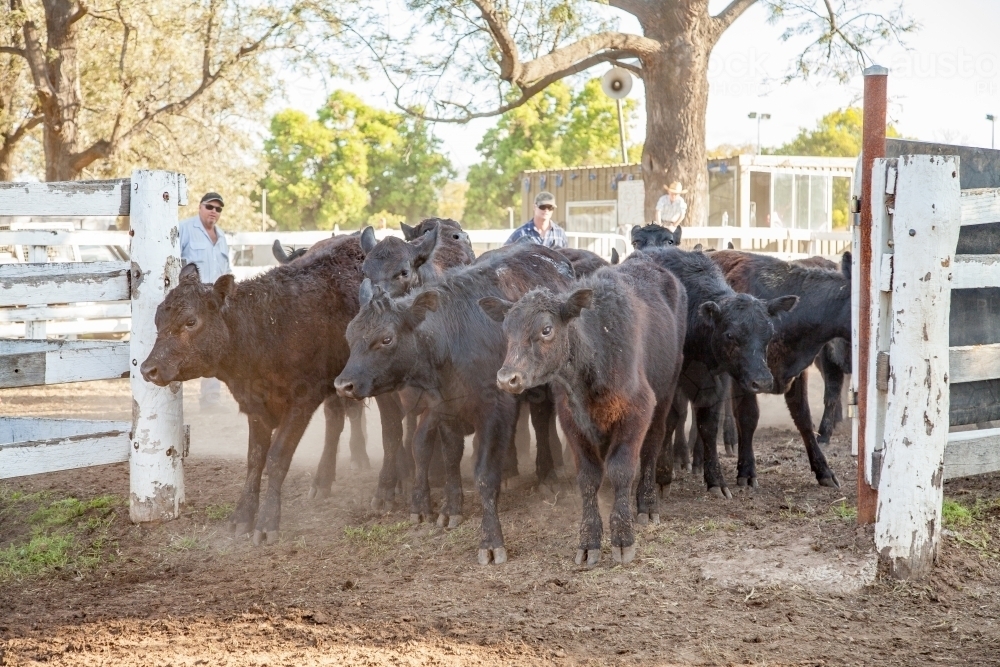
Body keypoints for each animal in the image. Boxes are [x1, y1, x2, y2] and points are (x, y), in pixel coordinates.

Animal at [139, 235, 404, 545]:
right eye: (158, 319)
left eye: (191, 321)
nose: (148, 369)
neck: (269, 327)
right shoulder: (255, 404)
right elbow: (255, 459)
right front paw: (242, 517)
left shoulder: (302, 401)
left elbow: (277, 457)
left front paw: (267, 522)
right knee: (336, 423)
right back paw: (323, 481)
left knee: (391, 424)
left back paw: (387, 489)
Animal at [334, 243, 575, 565]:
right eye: (350, 335)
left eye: (386, 339)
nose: (343, 385)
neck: (452, 343)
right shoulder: (445, 410)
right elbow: (450, 459)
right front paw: (451, 510)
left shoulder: (494, 411)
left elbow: (484, 473)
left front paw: (491, 541)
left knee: (539, 419)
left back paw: (547, 475)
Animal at [480, 253, 686, 567]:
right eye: (507, 330)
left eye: (546, 329)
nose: (507, 378)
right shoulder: (571, 420)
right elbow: (588, 478)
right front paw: (589, 541)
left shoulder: (637, 410)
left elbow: (621, 469)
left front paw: (623, 539)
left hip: (665, 390)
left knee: (653, 445)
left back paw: (648, 503)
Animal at [638, 246, 797, 497]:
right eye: (730, 335)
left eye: (769, 333)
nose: (762, 381)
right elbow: (669, 421)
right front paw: (661, 476)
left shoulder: (716, 381)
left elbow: (709, 426)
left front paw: (716, 480)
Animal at [710, 250, 852, 488]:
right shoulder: (747, 377)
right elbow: (748, 417)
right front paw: (747, 471)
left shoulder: (796, 372)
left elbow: (803, 418)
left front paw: (824, 470)